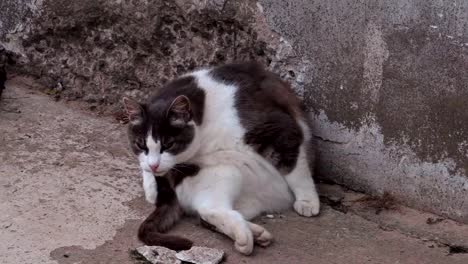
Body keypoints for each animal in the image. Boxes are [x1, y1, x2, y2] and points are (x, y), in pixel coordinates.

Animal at [123, 60, 322, 255]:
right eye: (140, 145)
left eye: (168, 145)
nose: (154, 166)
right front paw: (308, 201)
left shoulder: (280, 128)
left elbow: (295, 168)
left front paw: (307, 200)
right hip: (222, 173)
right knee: (209, 210)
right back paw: (245, 237)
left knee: (210, 215)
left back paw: (256, 233)